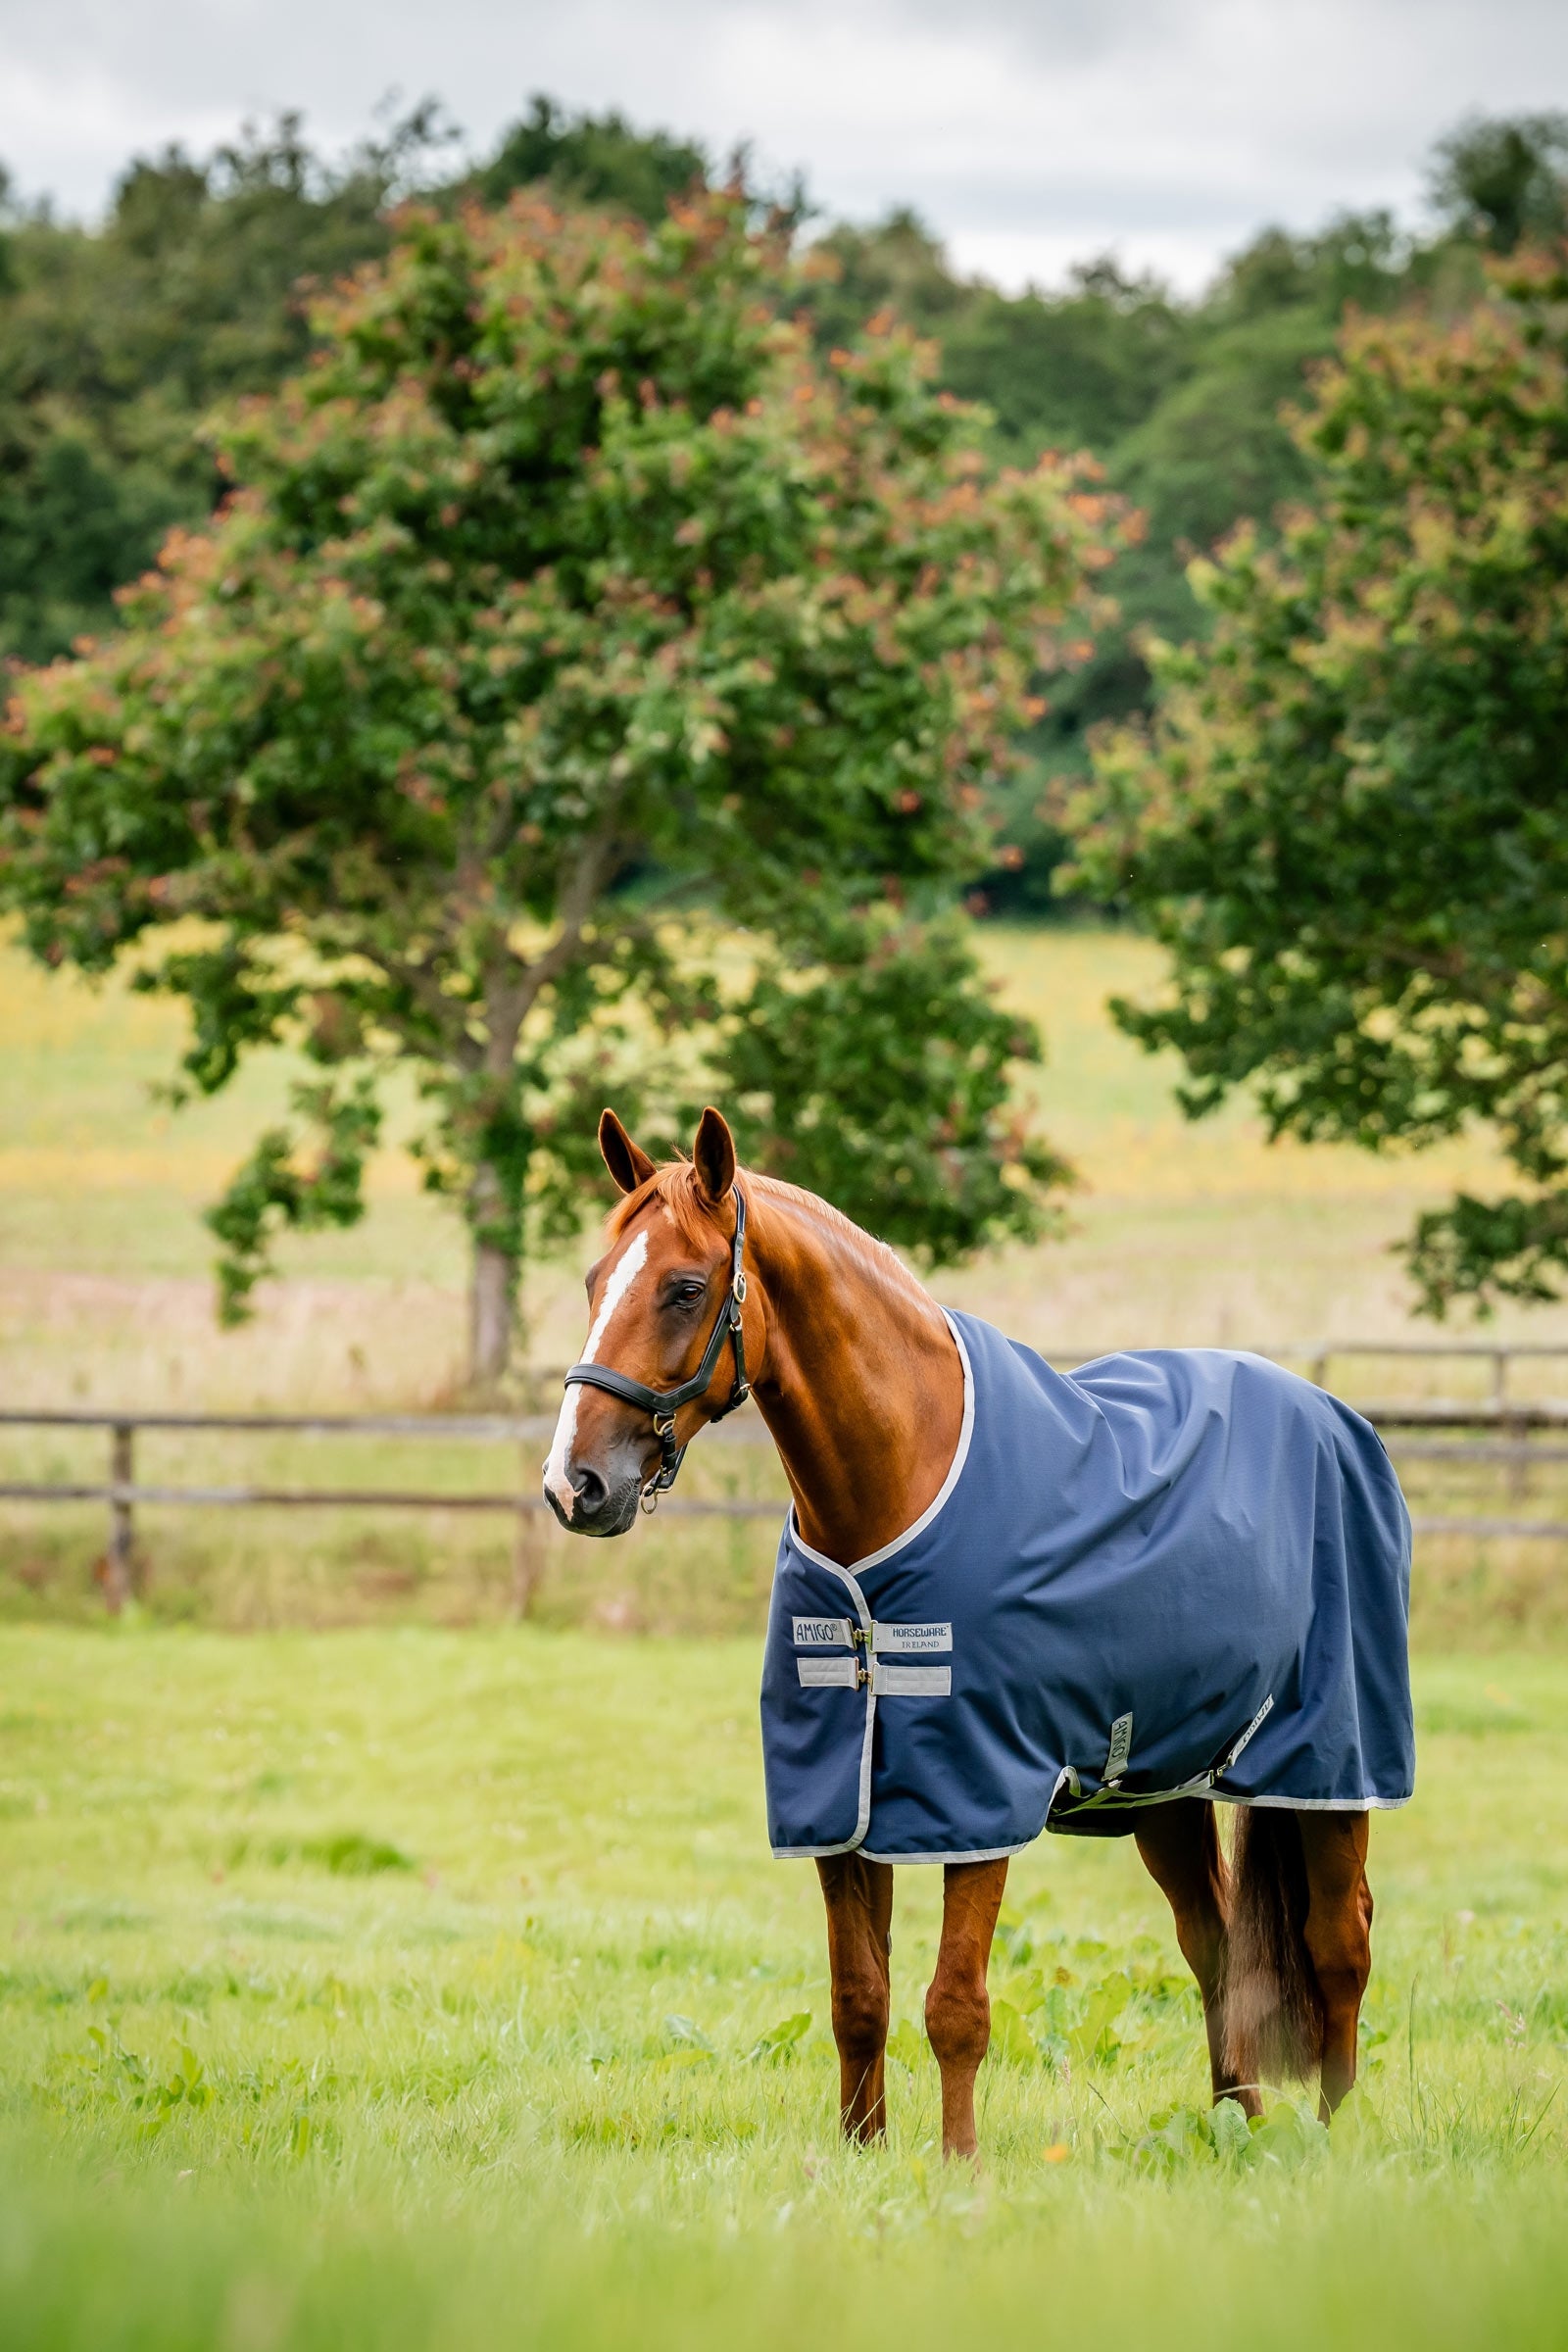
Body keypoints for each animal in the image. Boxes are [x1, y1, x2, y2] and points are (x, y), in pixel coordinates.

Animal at [544, 1106, 1413, 2160]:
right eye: (595, 1282)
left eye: (681, 1287)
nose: (575, 1485)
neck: (899, 1485)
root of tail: (1334, 1418)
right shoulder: (839, 1800)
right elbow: (857, 1999)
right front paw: (862, 2155)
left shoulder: (978, 1792)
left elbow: (954, 2004)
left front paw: (958, 2167)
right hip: (1163, 1785)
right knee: (1213, 1946)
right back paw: (1233, 2124)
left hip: (1330, 1766)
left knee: (1339, 1942)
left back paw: (1334, 2134)